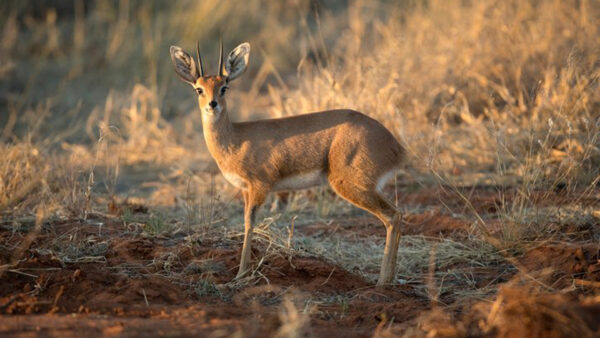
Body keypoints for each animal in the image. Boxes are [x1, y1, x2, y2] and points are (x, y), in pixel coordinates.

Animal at [169, 41, 404, 286]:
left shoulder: (260, 187)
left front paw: (241, 275)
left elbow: (249, 224)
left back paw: (382, 282)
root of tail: (396, 146)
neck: (235, 139)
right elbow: (246, 223)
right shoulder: (245, 190)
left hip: (352, 185)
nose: (212, 104)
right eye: (199, 89)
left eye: (224, 87)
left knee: (393, 216)